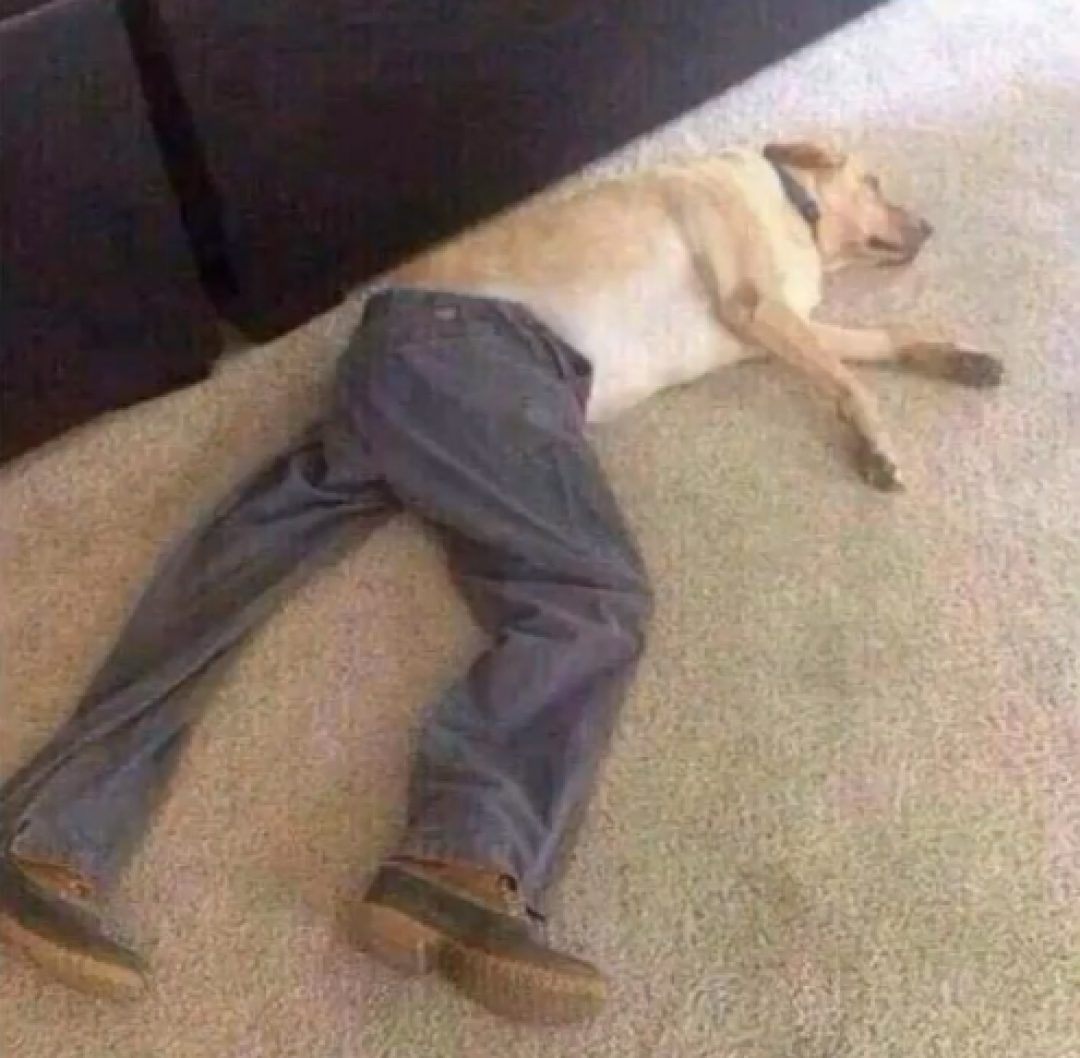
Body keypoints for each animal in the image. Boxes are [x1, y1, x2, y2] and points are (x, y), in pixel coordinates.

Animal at [392, 140, 1004, 491]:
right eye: (873, 184)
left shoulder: (783, 323)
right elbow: (853, 382)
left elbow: (882, 340)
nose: (928, 228)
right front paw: (875, 442)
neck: (793, 206)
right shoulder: (756, 306)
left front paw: (955, 358)